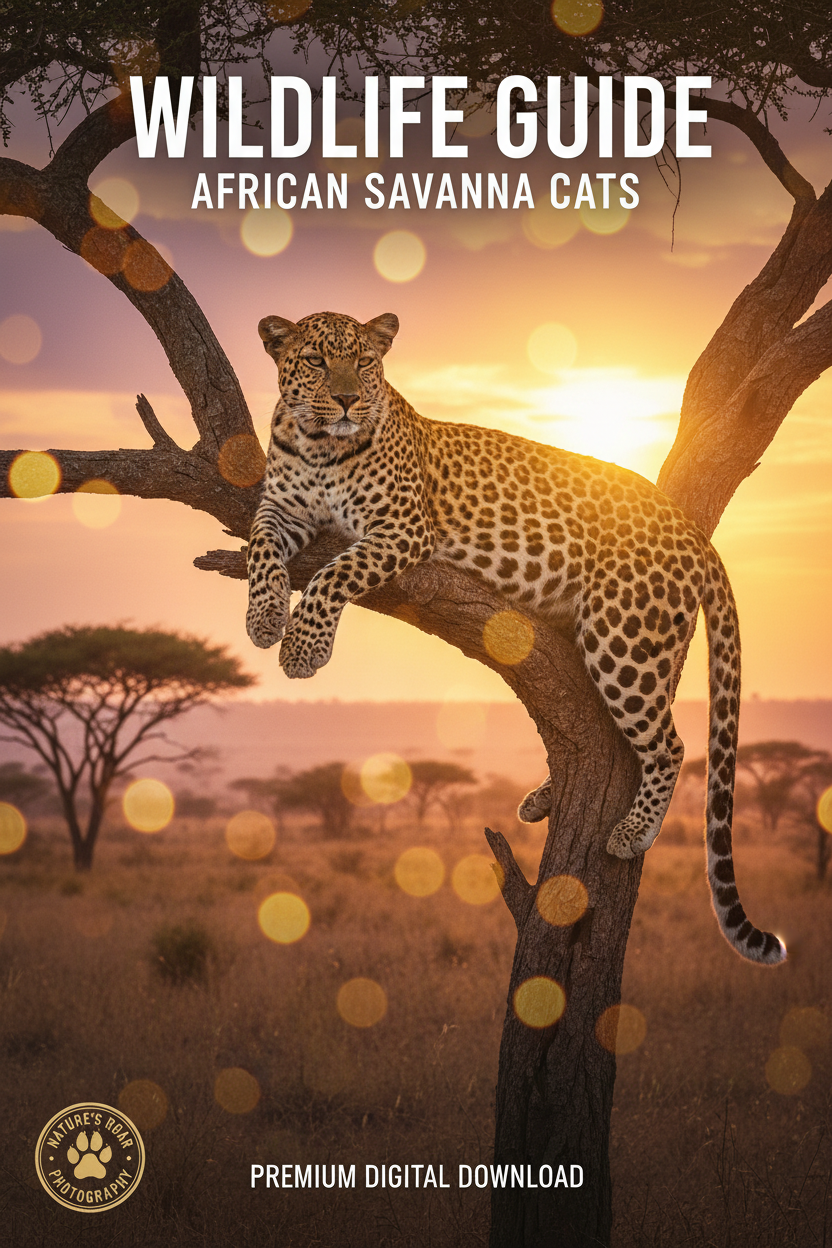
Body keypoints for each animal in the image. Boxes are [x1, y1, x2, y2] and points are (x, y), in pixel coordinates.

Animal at [246, 309, 785, 967]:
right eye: (318, 361)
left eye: (364, 363)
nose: (349, 400)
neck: (319, 446)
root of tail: (692, 532)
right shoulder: (279, 509)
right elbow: (259, 548)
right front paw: (264, 617)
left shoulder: (401, 527)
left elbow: (333, 572)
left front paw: (303, 648)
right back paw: (543, 799)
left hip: (624, 637)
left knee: (669, 744)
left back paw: (632, 833)